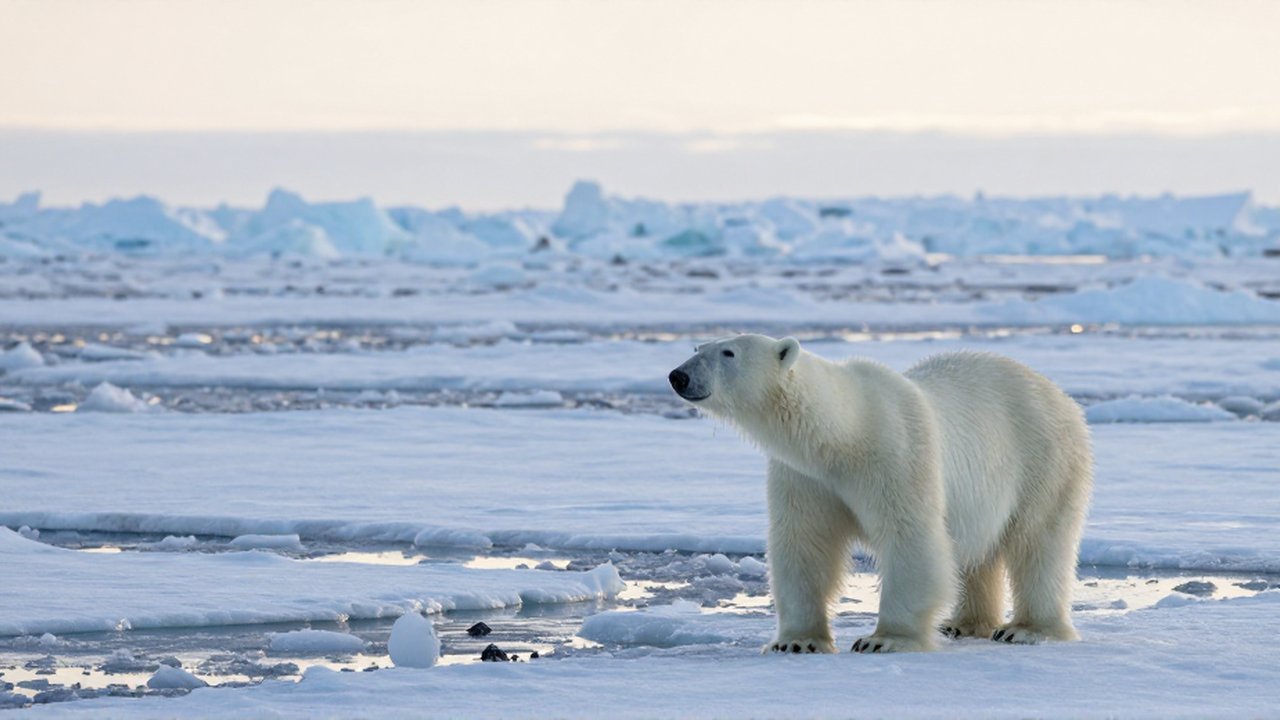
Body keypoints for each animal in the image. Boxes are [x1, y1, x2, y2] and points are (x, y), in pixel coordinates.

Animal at [668, 334, 1092, 654]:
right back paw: (964, 623)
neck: (844, 434)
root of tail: (1059, 394)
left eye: (728, 352)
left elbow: (910, 538)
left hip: (1044, 458)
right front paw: (796, 642)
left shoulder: (897, 455)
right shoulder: (805, 476)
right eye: (697, 347)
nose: (678, 376)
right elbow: (804, 544)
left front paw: (884, 639)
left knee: (1038, 541)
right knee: (979, 553)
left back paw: (1027, 629)